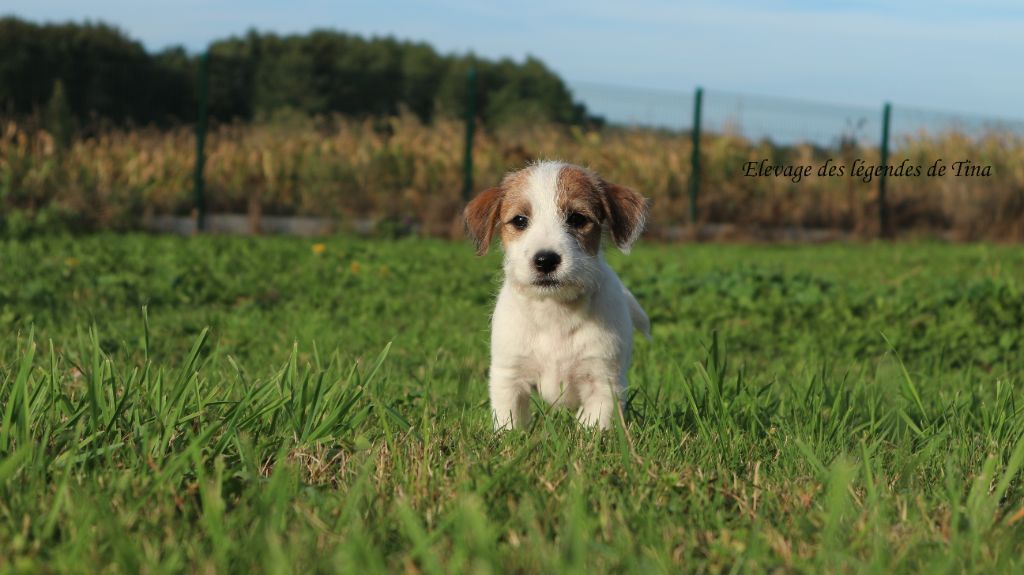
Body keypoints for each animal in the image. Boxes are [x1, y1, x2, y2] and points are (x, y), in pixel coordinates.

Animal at [464, 161, 651, 430]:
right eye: (520, 220)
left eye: (577, 218)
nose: (545, 260)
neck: (554, 310)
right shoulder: (509, 376)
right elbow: (509, 421)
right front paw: (507, 438)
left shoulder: (604, 381)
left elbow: (593, 426)